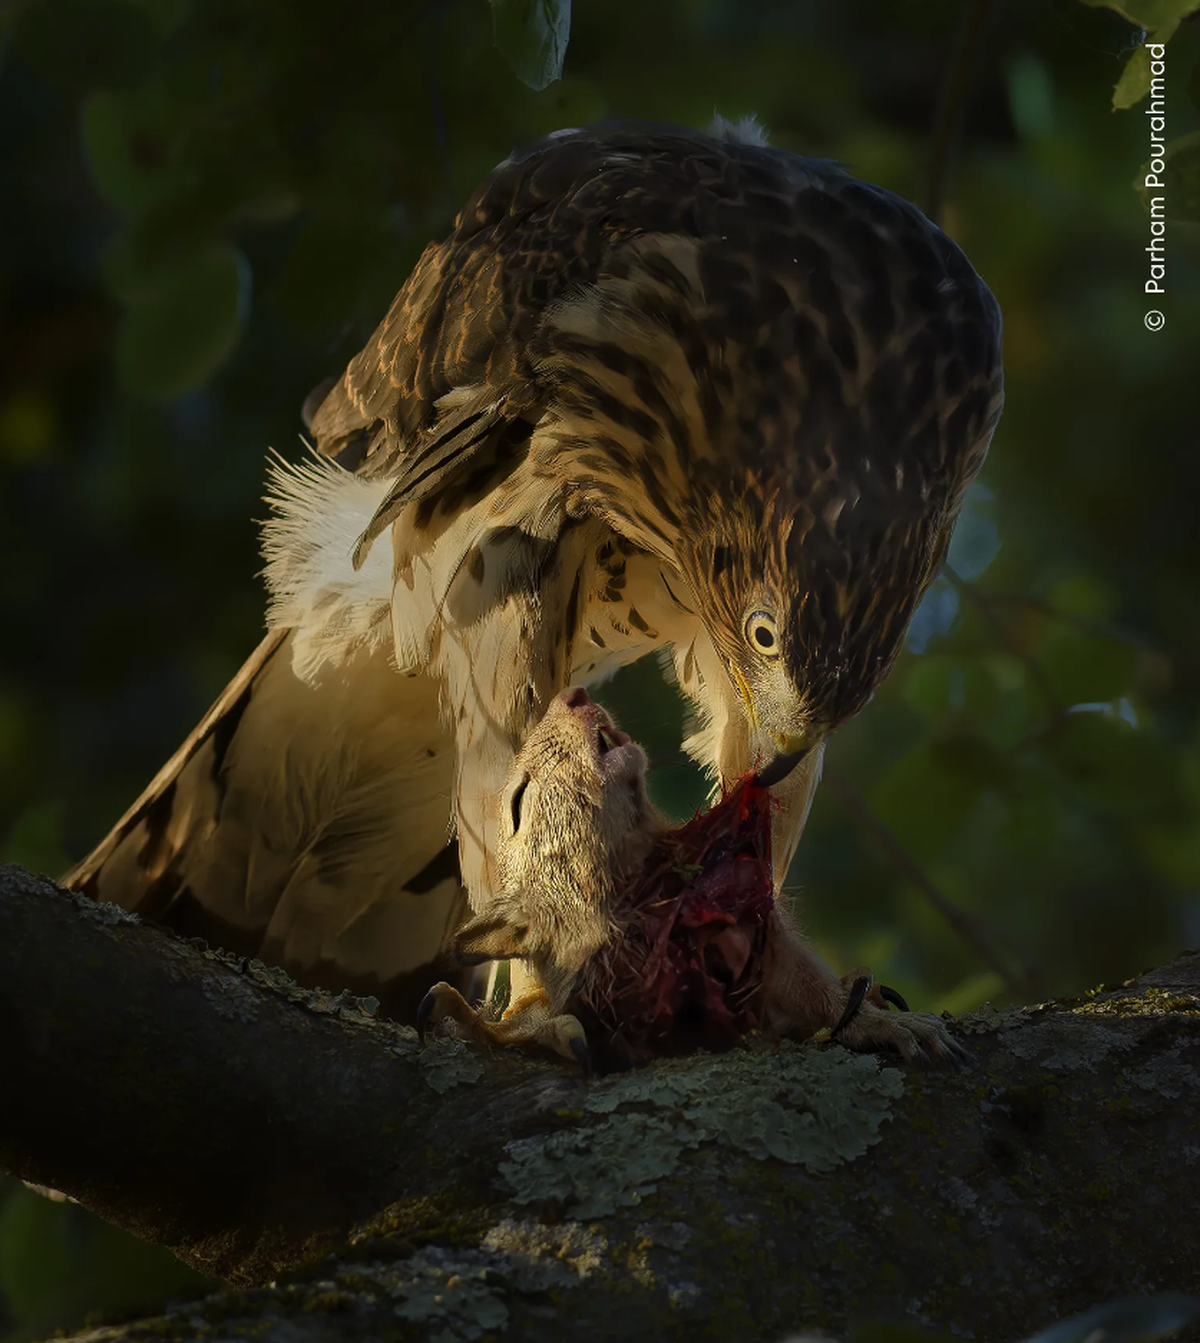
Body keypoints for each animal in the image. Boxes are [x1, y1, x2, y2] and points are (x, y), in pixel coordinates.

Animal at [419, 688, 966, 1070]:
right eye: (518, 802)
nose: (572, 696)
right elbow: (535, 1011)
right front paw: (501, 1024)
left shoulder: (758, 936)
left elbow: (806, 988)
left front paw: (880, 1022)